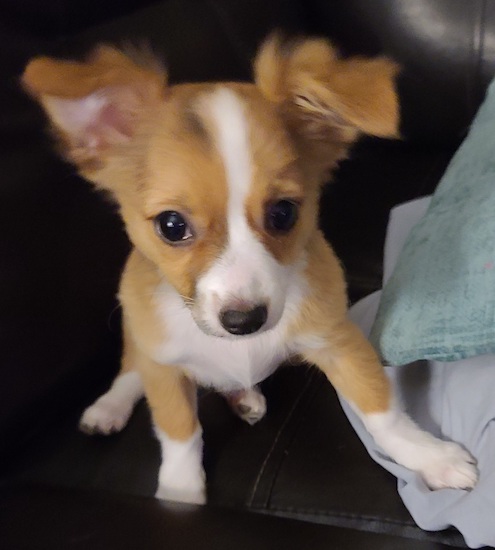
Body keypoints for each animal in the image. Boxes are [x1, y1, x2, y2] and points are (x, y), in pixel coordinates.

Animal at [24, 36, 480, 506]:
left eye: (283, 213)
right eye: (171, 225)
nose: (243, 322)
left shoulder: (338, 341)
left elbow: (381, 411)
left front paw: (428, 456)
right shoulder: (164, 367)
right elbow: (180, 432)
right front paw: (180, 493)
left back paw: (242, 394)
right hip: (137, 331)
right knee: (131, 368)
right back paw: (109, 407)